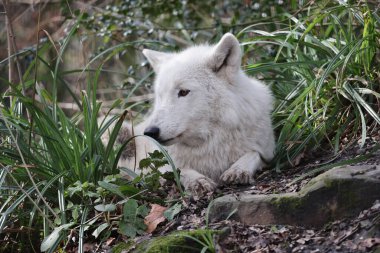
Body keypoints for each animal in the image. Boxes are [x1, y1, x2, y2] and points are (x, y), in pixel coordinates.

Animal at [117, 33, 274, 196]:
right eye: (160, 95)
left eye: (183, 92)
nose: (149, 132)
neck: (210, 142)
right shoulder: (162, 164)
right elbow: (179, 169)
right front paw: (198, 181)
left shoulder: (268, 152)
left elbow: (253, 154)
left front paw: (238, 170)